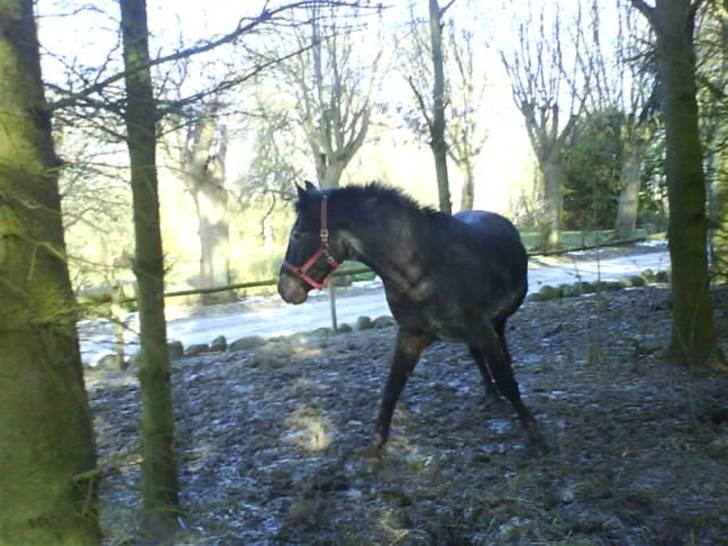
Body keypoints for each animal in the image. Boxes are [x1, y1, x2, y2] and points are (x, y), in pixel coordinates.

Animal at [278, 180, 544, 454]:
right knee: (477, 357)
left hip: (497, 323)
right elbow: (392, 388)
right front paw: (376, 446)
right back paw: (491, 395)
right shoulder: (411, 335)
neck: (423, 269)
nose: (285, 289)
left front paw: (536, 438)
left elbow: (506, 379)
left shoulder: (484, 331)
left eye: (296, 235)